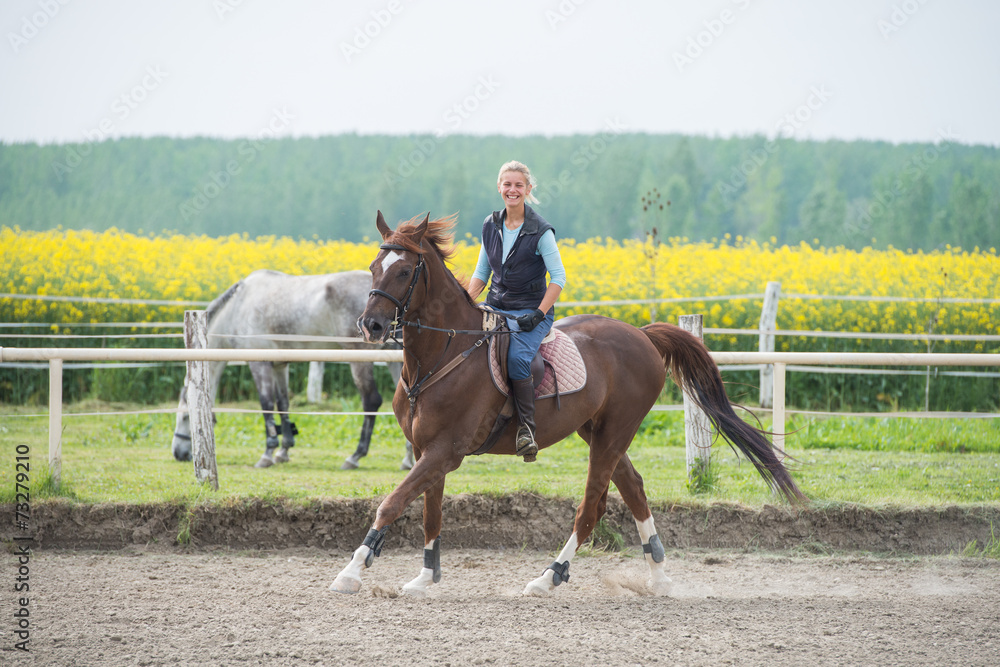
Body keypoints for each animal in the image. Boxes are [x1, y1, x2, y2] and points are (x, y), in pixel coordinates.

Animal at [170, 269, 414, 471]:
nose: (178, 454)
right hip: (394, 359)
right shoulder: (279, 364)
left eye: (185, 417)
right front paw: (284, 450)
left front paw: (267, 454)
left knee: (371, 401)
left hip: (360, 359)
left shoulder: (259, 364)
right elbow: (283, 403)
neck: (238, 307)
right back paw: (408, 458)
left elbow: (267, 404)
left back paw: (355, 457)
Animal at [329, 212, 806, 597]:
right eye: (373, 267)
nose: (370, 326)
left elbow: (392, 502)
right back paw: (658, 578)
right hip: (599, 432)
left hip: (613, 435)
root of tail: (642, 335)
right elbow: (430, 514)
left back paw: (550, 576)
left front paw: (352, 571)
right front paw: (425, 578)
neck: (443, 354)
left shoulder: (446, 451)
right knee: (634, 490)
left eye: (404, 270)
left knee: (591, 507)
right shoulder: (428, 450)